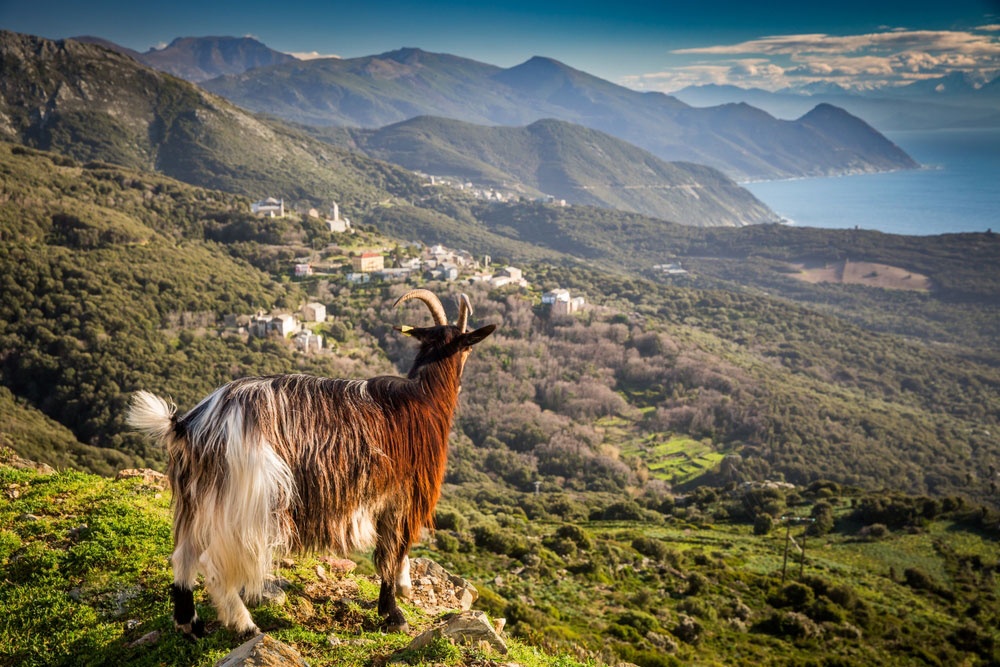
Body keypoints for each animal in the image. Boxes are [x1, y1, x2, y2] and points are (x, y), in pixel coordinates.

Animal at [129, 290, 496, 640]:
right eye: (468, 347)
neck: (423, 399)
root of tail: (194, 426)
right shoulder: (403, 494)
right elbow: (391, 552)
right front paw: (393, 614)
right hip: (250, 503)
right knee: (211, 562)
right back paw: (245, 625)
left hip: (197, 497)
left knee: (183, 554)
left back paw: (189, 623)